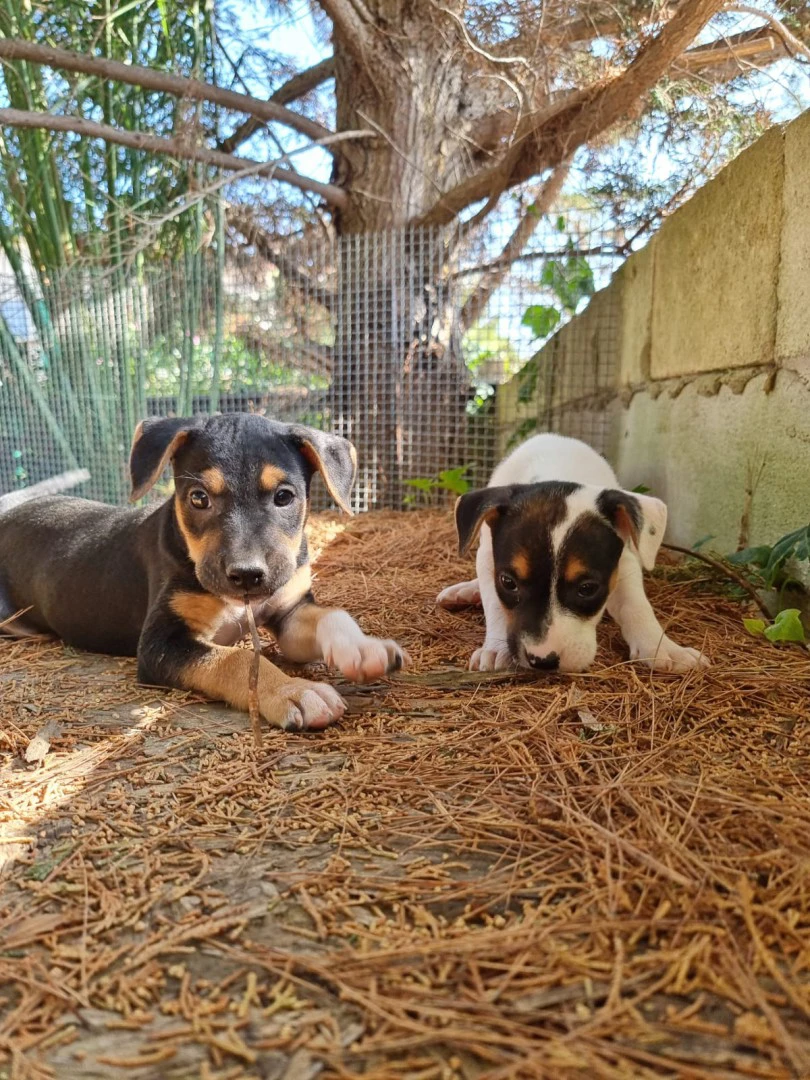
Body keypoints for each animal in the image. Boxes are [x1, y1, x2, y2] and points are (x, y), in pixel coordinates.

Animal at [0, 412, 406, 734]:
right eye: (198, 498)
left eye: (284, 497)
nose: (246, 575)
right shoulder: (161, 644)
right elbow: (238, 660)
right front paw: (294, 691)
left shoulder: (290, 608)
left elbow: (331, 615)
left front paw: (363, 648)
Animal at [438, 432, 708, 669]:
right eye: (509, 582)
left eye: (587, 588)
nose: (542, 660)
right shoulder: (488, 559)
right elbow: (495, 602)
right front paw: (495, 649)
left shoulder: (626, 561)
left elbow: (636, 604)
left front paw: (662, 647)